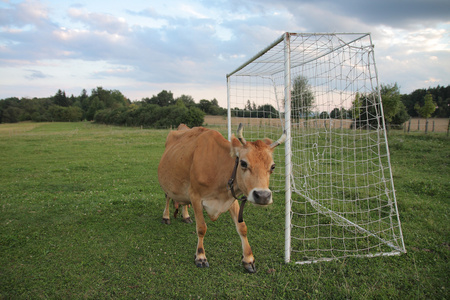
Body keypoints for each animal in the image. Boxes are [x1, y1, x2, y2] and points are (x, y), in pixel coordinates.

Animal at [157, 123, 284, 274]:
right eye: (243, 163)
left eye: (273, 166)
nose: (263, 196)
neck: (219, 168)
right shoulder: (195, 196)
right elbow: (201, 228)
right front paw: (200, 256)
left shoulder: (231, 198)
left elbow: (242, 227)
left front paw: (248, 259)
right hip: (168, 184)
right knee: (167, 198)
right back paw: (166, 217)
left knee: (183, 202)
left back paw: (186, 216)